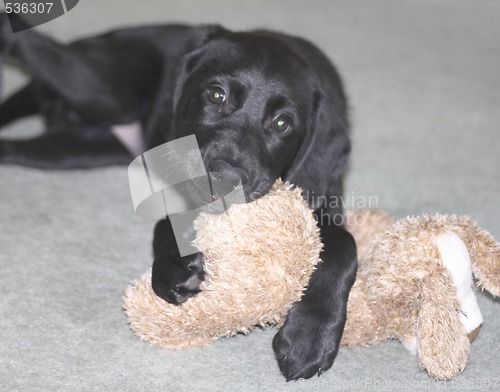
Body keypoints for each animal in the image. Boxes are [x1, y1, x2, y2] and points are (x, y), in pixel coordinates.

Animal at [0, 13, 360, 382]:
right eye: (215, 95)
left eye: (283, 123)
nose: (224, 178)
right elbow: (163, 227)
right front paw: (172, 269)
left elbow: (345, 246)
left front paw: (309, 334)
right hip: (105, 91)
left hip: (80, 147)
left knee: (12, 145)